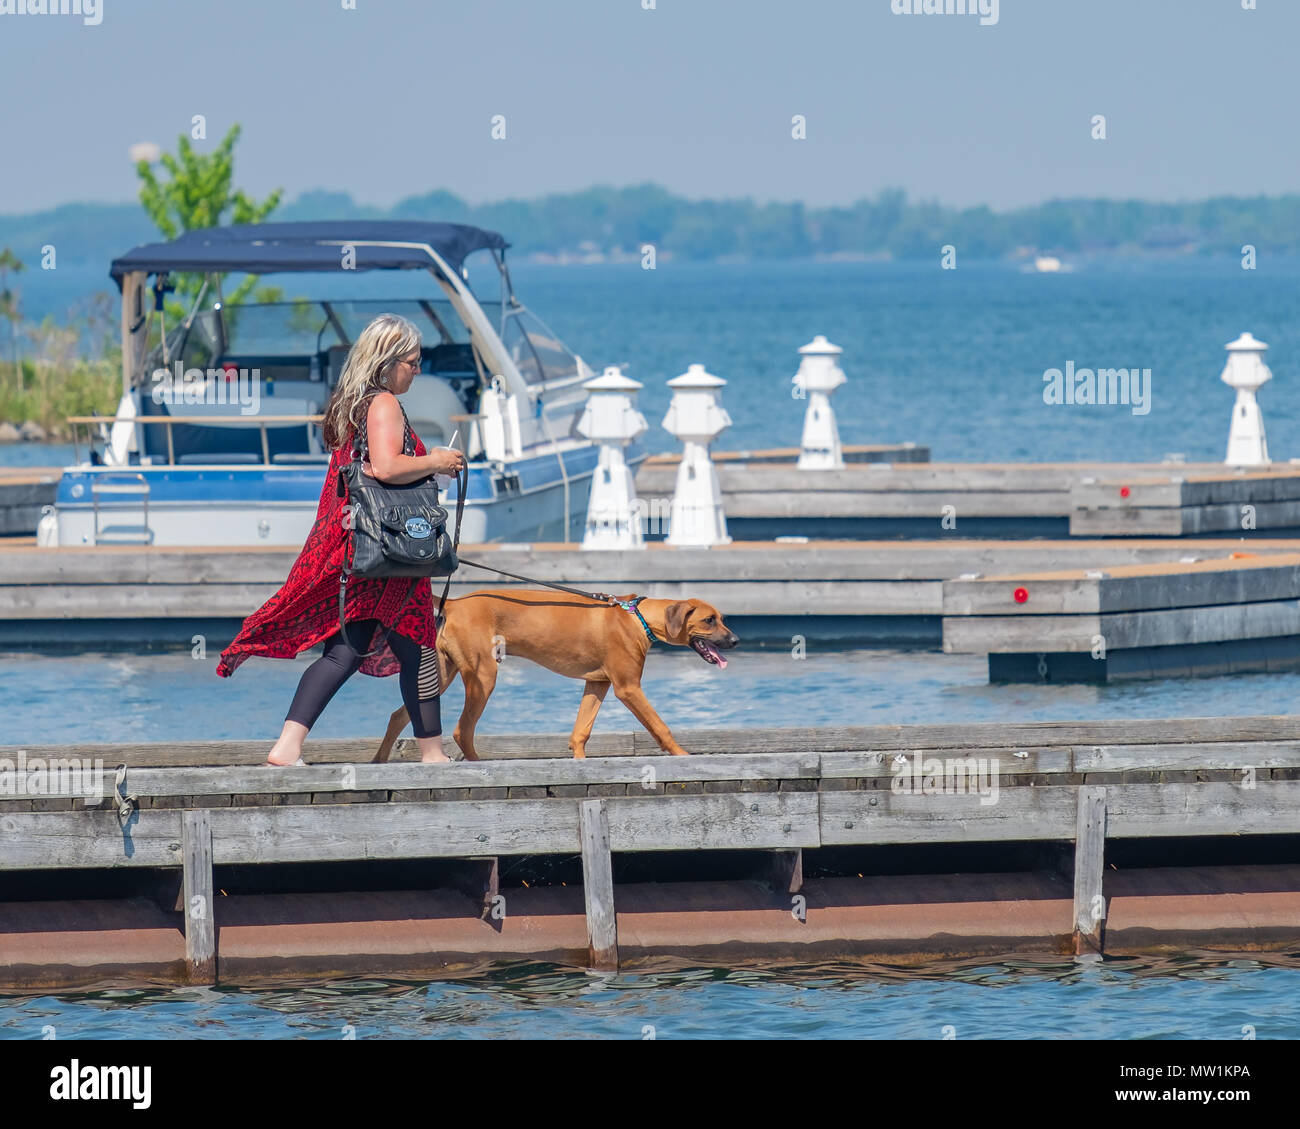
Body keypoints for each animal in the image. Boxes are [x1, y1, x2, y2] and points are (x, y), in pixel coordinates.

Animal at [374, 590, 743, 759]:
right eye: (709, 620)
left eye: (722, 618)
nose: (735, 641)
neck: (637, 617)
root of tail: (453, 603)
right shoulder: (628, 687)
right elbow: (660, 727)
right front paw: (683, 755)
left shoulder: (598, 683)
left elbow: (581, 730)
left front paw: (579, 759)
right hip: (482, 675)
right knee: (462, 730)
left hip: (442, 672)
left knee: (398, 714)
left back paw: (379, 761)